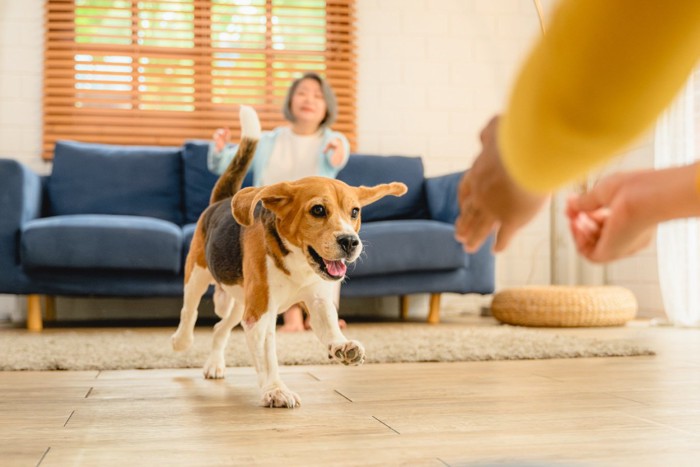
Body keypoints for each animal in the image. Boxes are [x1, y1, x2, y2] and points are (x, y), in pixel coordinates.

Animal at [172, 107, 408, 410]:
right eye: (318, 210)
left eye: (354, 211)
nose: (350, 242)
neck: (298, 263)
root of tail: (220, 201)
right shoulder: (260, 314)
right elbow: (267, 356)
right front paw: (275, 390)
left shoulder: (316, 300)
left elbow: (329, 325)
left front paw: (342, 346)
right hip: (199, 275)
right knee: (188, 311)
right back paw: (181, 341)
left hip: (240, 302)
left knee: (219, 327)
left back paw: (214, 364)